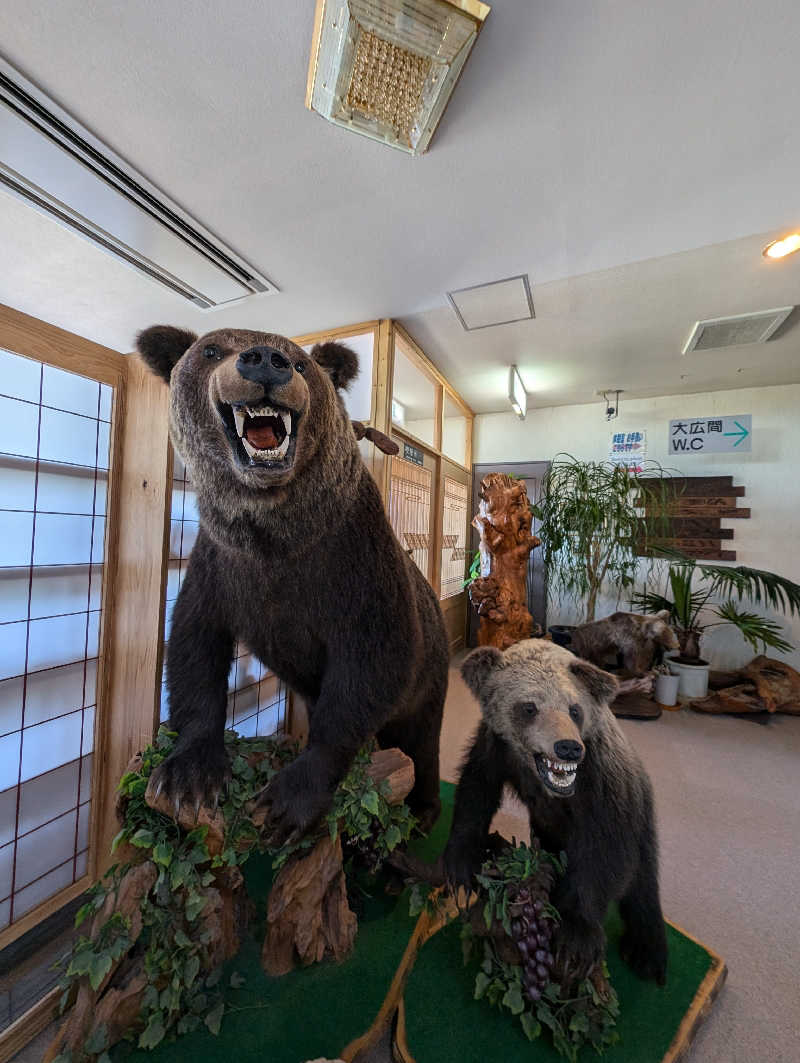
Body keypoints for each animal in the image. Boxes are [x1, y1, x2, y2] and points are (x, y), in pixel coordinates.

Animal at [137, 327, 450, 841]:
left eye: (303, 363)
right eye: (210, 350)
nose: (266, 359)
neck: (277, 532)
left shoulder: (356, 564)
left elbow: (374, 663)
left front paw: (286, 802)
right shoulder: (222, 565)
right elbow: (194, 645)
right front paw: (189, 777)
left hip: (432, 666)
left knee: (421, 738)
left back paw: (423, 808)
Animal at [444, 633, 667, 982]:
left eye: (575, 709)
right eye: (529, 707)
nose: (568, 748)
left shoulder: (602, 784)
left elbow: (606, 854)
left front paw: (576, 938)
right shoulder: (494, 750)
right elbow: (474, 795)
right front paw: (462, 865)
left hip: (641, 810)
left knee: (643, 881)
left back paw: (646, 952)